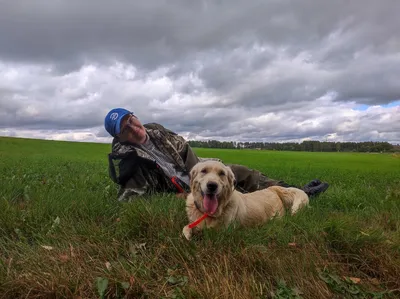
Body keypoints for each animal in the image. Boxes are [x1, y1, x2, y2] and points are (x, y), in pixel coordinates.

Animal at [181, 162, 310, 241]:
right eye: (204, 171)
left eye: (221, 173)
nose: (212, 185)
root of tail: (272, 188)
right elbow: (186, 227)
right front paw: (187, 235)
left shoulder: (221, 232)